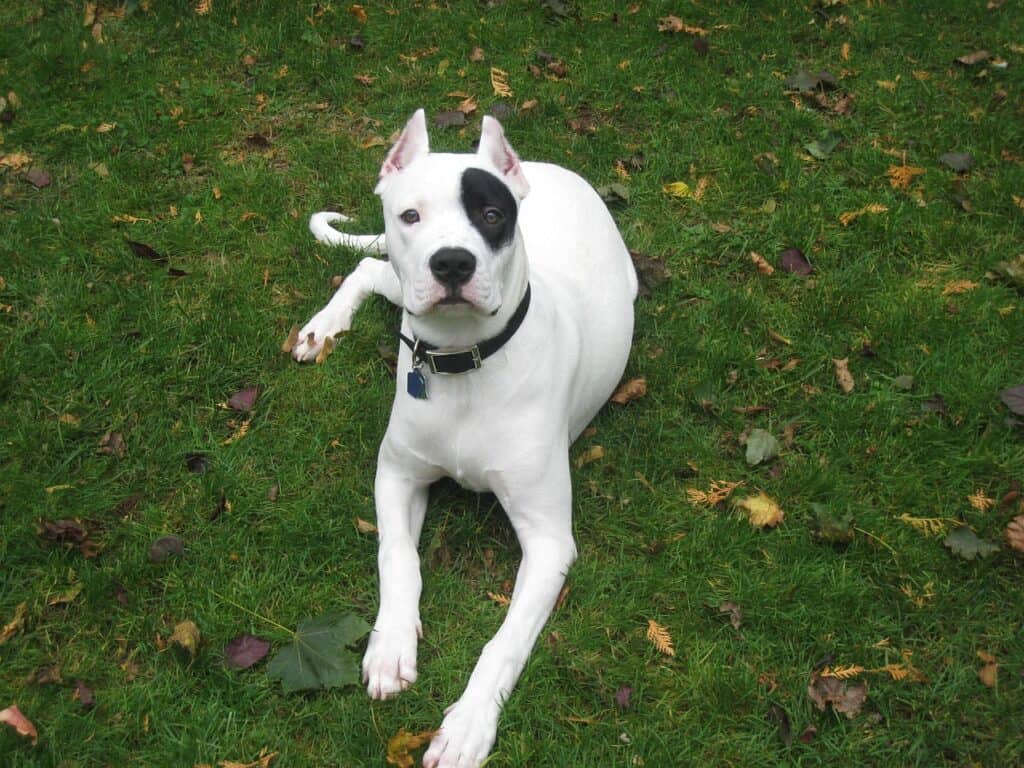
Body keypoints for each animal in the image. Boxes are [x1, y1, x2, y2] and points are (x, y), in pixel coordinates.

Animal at [292, 109, 634, 768]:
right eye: (410, 216)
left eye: (492, 215)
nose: (452, 263)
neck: (464, 364)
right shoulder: (396, 475)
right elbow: (397, 557)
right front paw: (390, 645)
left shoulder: (549, 542)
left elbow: (505, 642)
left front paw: (469, 724)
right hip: (398, 289)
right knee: (370, 268)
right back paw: (324, 326)